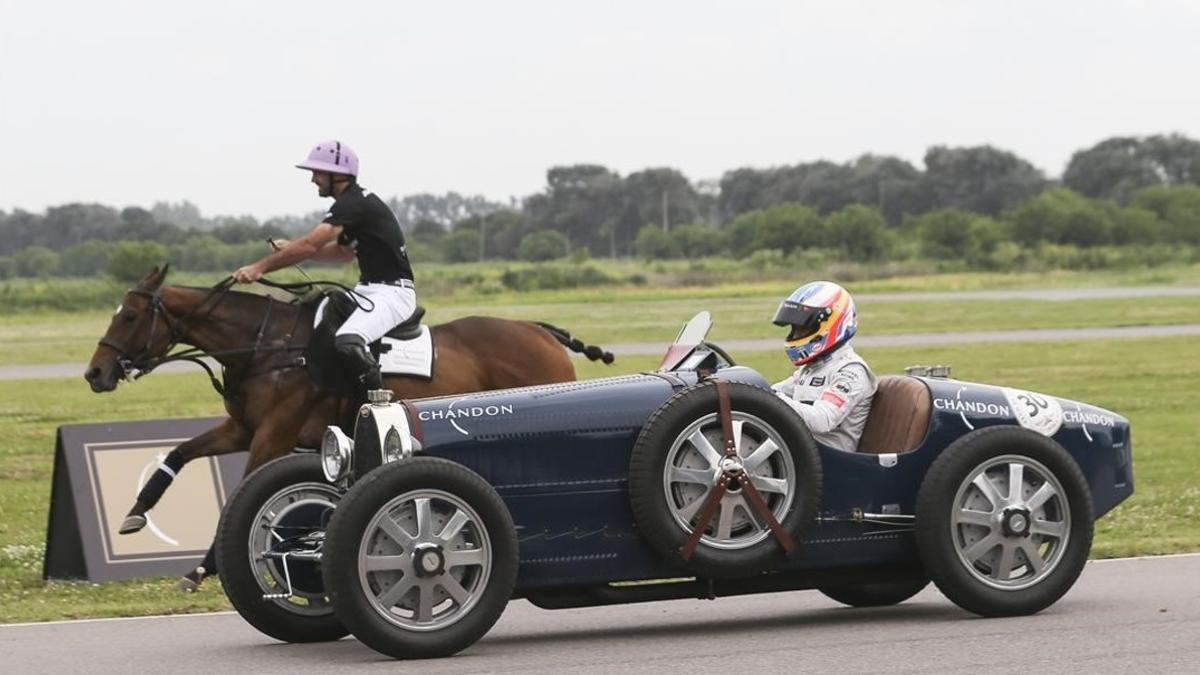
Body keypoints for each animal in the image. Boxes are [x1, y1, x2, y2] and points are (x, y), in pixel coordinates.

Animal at [87, 265, 609, 586]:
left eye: (129, 316)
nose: (95, 373)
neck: (268, 348)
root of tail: (541, 331)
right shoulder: (242, 430)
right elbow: (178, 454)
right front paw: (135, 514)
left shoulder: (271, 437)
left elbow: (238, 495)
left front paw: (203, 567)